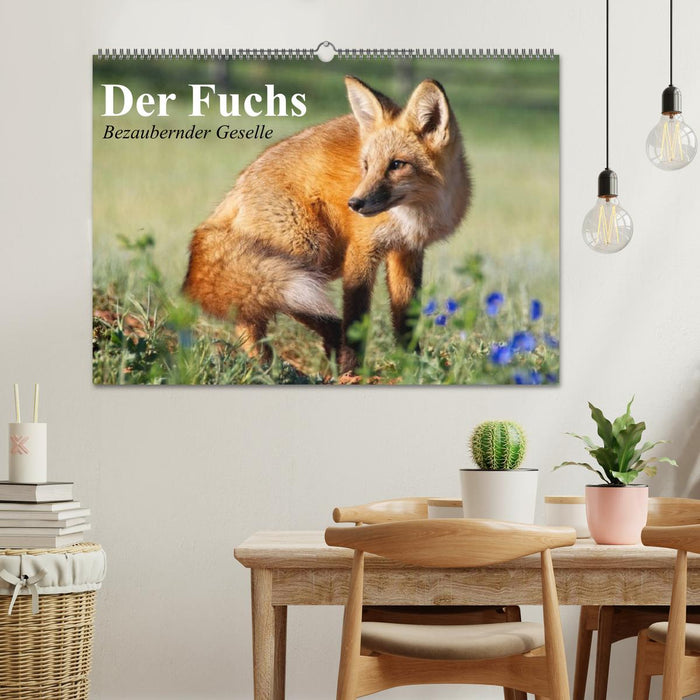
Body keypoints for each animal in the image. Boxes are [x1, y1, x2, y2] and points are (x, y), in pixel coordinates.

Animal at [183, 75, 471, 374]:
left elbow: (406, 319)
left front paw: (412, 366)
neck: (414, 216)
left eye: (397, 164)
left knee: (251, 310)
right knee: (264, 305)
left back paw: (267, 366)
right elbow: (356, 316)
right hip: (309, 252)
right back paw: (286, 360)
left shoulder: (407, 251)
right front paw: (352, 372)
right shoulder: (362, 249)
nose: (354, 204)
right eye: (366, 166)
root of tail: (235, 189)